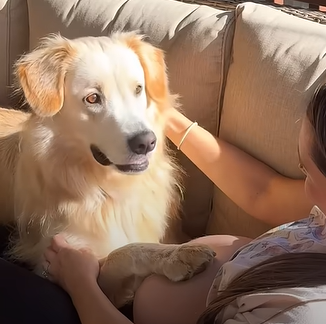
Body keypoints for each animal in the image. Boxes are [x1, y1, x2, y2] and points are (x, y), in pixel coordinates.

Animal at [0, 33, 215, 308]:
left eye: (138, 89)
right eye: (92, 98)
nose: (146, 142)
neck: (108, 187)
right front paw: (179, 255)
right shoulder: (58, 261)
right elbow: (124, 252)